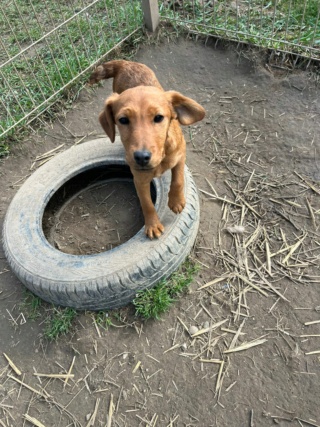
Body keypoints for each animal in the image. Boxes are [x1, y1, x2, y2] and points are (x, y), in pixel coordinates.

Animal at [89, 60, 205, 241]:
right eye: (123, 120)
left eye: (158, 117)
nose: (142, 157)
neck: (161, 156)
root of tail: (125, 62)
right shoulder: (139, 179)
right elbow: (147, 204)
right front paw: (152, 225)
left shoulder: (180, 154)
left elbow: (178, 179)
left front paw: (176, 201)